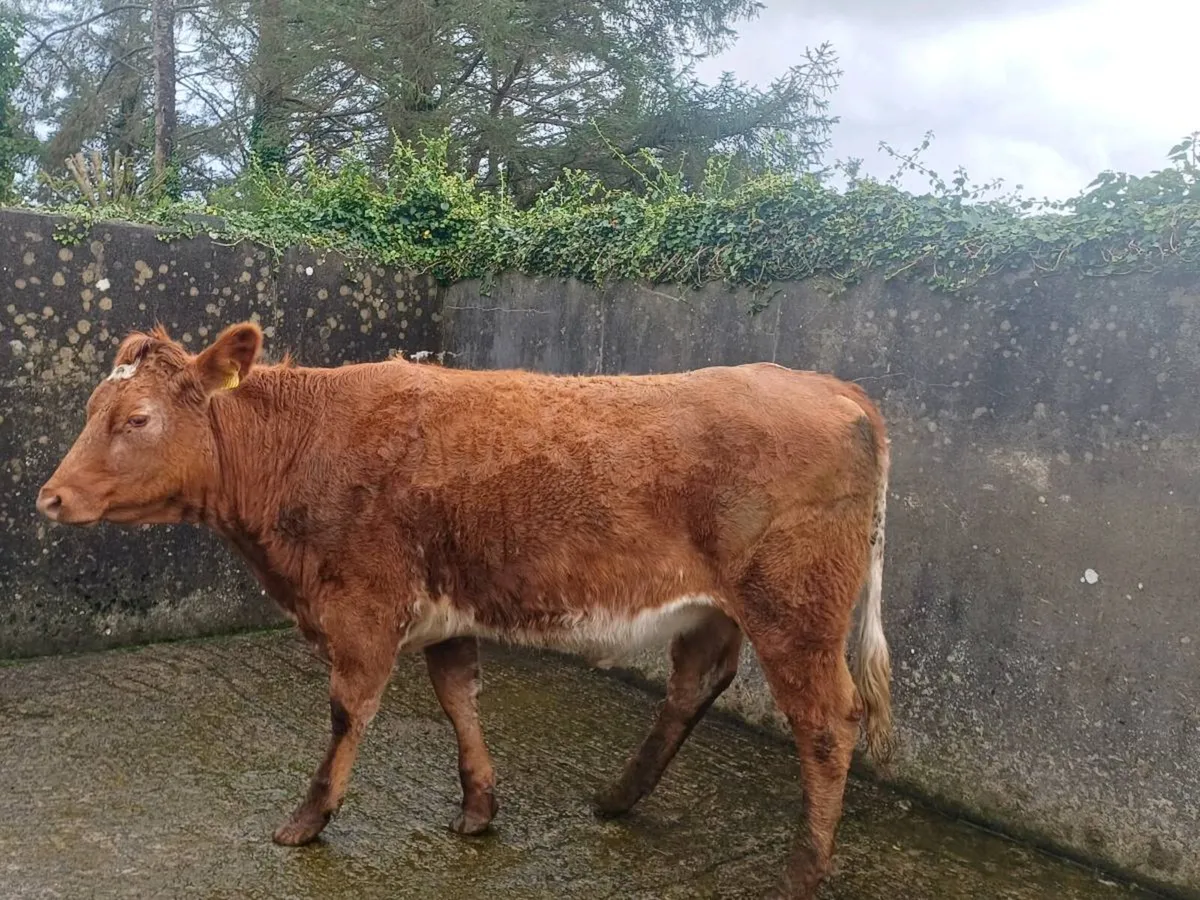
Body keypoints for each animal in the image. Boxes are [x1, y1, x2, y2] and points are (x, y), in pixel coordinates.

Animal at [36, 321, 894, 899]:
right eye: (92, 407)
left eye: (137, 419)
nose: (50, 497)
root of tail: (836, 387)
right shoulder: (443, 612)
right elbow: (459, 697)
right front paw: (480, 806)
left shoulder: (363, 606)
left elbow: (350, 711)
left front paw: (308, 821)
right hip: (718, 608)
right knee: (697, 681)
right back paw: (617, 798)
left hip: (796, 608)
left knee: (827, 721)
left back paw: (802, 870)